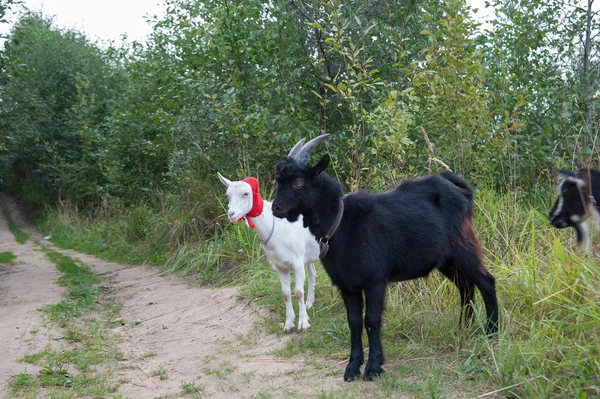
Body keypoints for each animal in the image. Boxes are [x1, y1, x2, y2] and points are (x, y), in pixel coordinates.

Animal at [216, 172, 318, 332]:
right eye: (228, 195)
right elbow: (286, 294)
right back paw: (310, 303)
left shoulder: (297, 263)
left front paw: (303, 323)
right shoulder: (281, 266)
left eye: (246, 193)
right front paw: (289, 323)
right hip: (309, 255)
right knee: (313, 273)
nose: (231, 214)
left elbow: (298, 292)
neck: (277, 228)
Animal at [272, 136, 496, 382]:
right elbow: (354, 322)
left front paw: (373, 367)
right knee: (465, 285)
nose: (275, 208)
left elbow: (371, 320)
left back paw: (492, 331)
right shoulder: (347, 285)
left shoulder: (375, 280)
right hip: (446, 260)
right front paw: (352, 367)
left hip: (462, 246)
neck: (341, 223)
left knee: (486, 281)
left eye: (298, 183)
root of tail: (464, 194)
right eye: (279, 181)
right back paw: (464, 327)